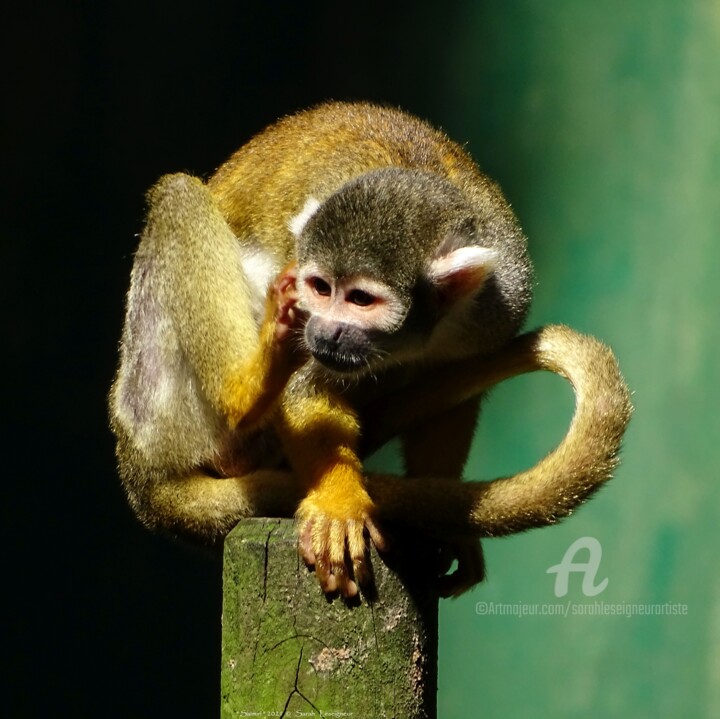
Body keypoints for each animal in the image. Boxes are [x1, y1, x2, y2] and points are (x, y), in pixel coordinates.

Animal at [109, 101, 632, 596]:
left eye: (361, 299)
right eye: (320, 288)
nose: (324, 333)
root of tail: (141, 478)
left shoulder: (501, 301)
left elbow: (452, 400)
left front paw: (447, 529)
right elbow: (308, 393)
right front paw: (339, 502)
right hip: (158, 405)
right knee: (178, 197)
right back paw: (247, 391)